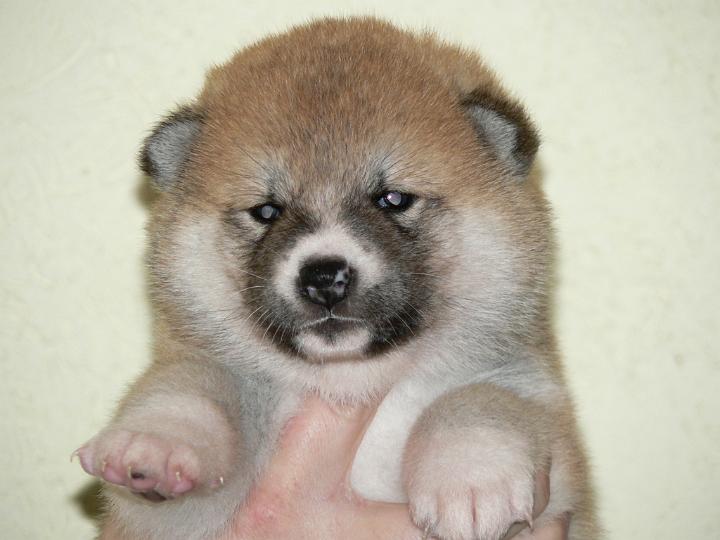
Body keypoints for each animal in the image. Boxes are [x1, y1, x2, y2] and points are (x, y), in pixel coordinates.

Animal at [76, 17, 599, 539]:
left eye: (393, 199)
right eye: (267, 211)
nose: (323, 277)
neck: (351, 382)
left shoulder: (539, 417)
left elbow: (480, 400)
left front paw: (471, 475)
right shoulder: (177, 514)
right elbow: (191, 386)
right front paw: (152, 444)